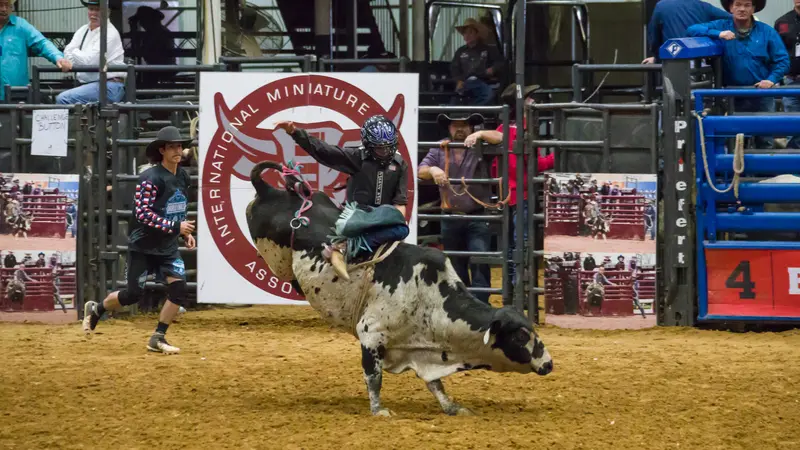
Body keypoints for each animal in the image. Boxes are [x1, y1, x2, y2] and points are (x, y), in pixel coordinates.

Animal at [247, 160, 552, 416]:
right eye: (520, 335)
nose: (549, 363)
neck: (430, 299)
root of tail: (269, 191)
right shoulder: (371, 335)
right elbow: (374, 377)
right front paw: (378, 411)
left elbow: (436, 384)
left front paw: (452, 407)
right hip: (275, 252)